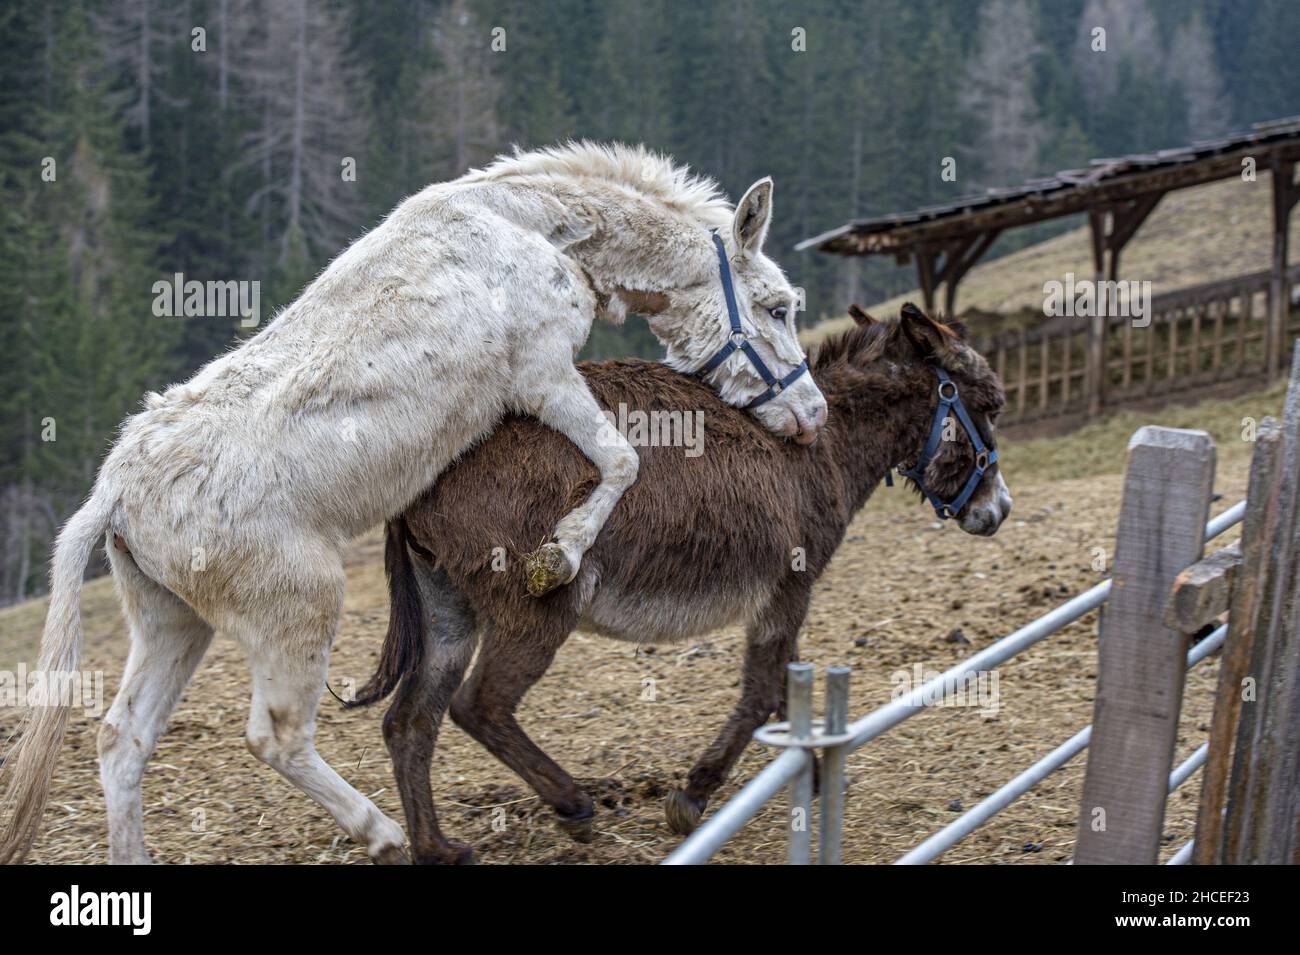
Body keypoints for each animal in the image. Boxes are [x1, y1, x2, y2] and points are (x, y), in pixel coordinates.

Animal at [0, 142, 826, 865]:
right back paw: (385, 833)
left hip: (172, 621)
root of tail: (115, 489)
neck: (528, 225)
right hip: (299, 605)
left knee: (123, 739)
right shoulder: (543, 374)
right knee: (275, 735)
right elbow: (620, 460)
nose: (813, 415)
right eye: (777, 307)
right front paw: (556, 556)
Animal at [357, 303, 1013, 863]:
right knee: (480, 706)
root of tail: (423, 480)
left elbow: (785, 684)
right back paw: (573, 805)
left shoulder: (786, 595)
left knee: (410, 723)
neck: (822, 449)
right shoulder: (789, 588)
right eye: (990, 405)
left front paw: (815, 767)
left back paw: (437, 849)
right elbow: (762, 692)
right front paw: (695, 793)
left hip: (449, 611)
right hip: (540, 606)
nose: (999, 511)